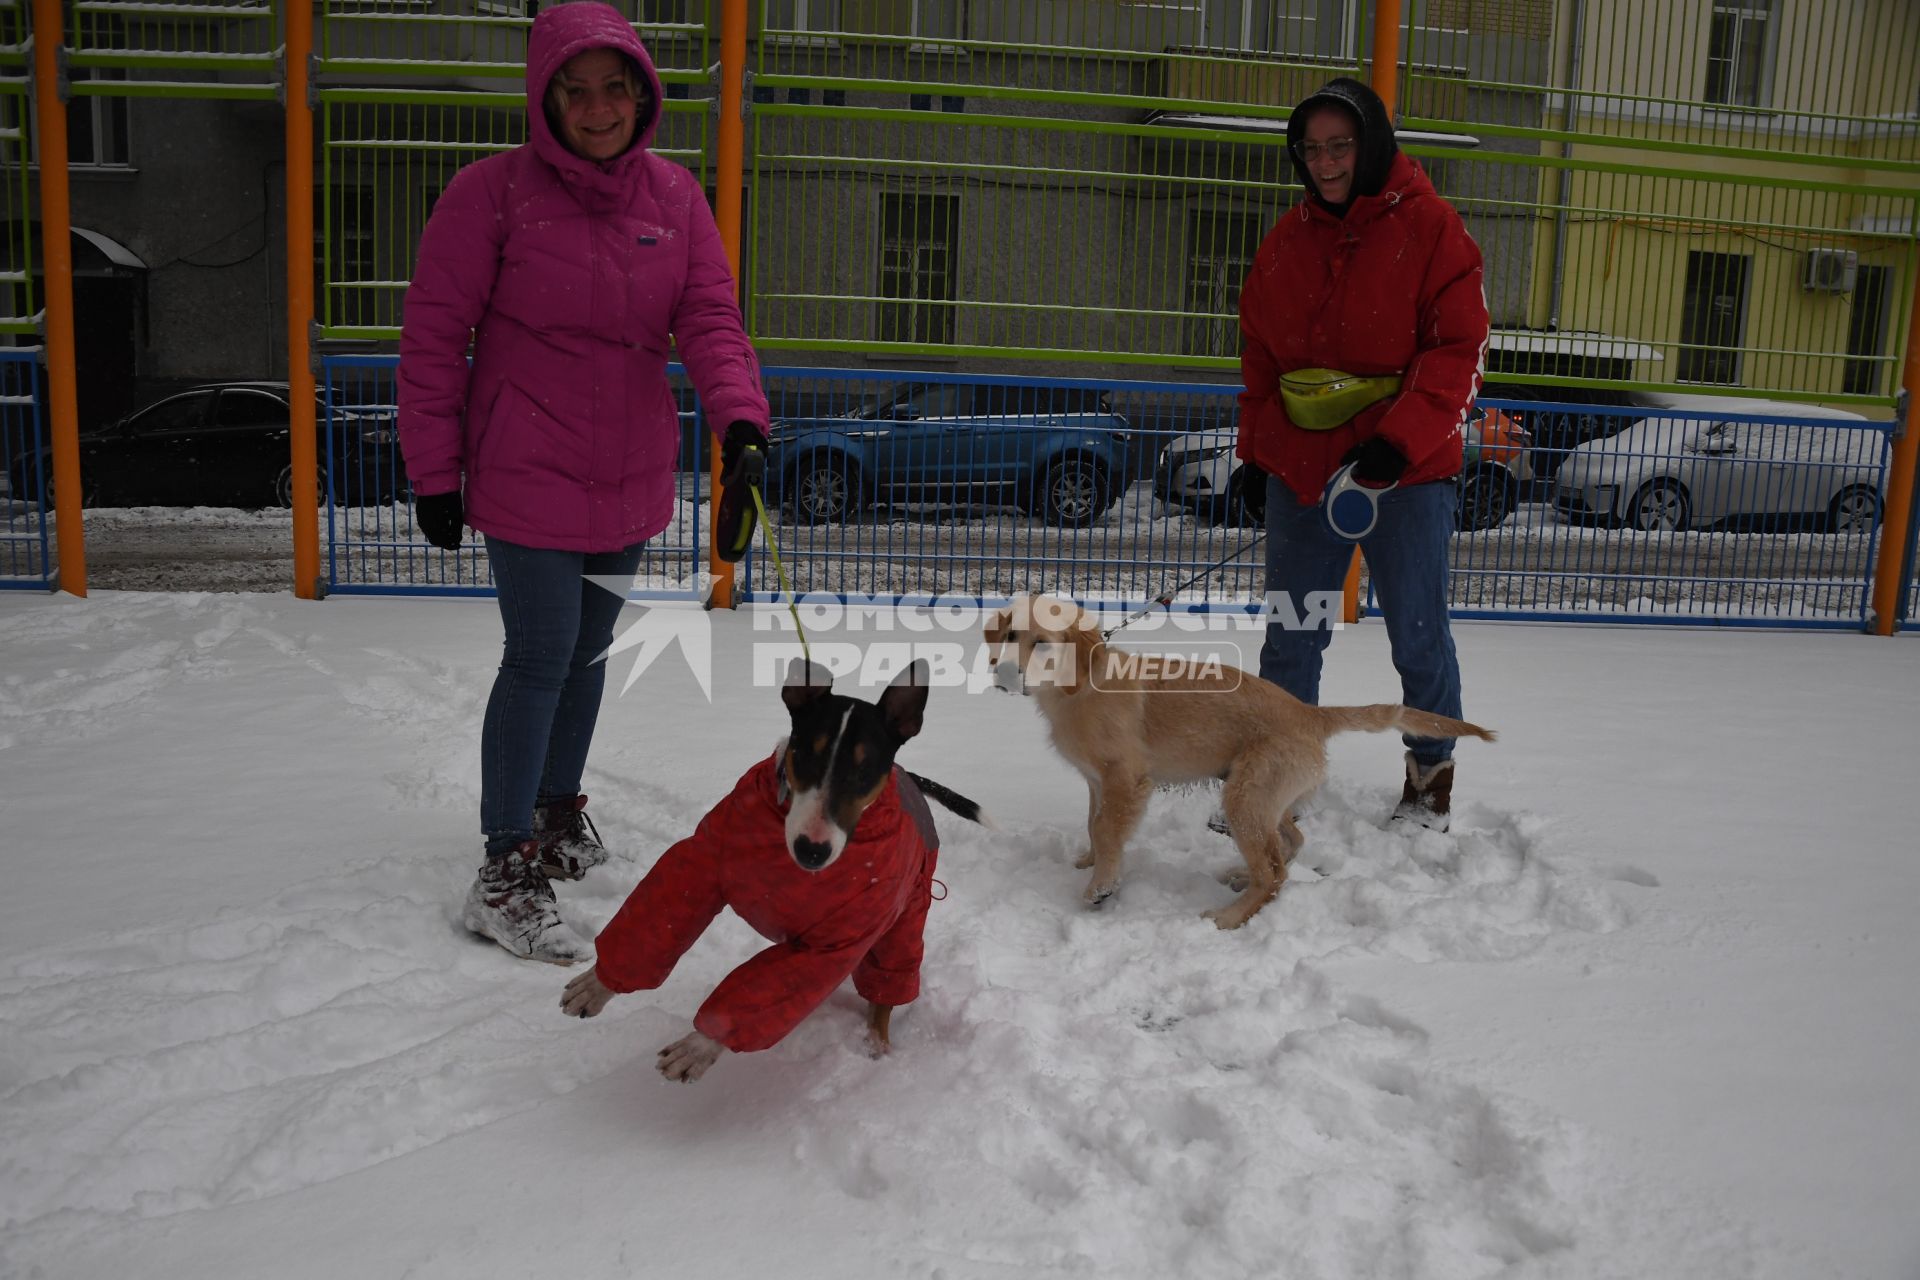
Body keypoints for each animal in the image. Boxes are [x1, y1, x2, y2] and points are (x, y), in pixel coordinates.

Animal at [552, 660, 975, 1082]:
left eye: (865, 770)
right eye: (804, 755)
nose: (812, 850)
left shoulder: (837, 941)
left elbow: (765, 993)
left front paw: (697, 1047)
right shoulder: (703, 861)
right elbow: (656, 919)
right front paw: (596, 985)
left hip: (908, 911)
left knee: (887, 982)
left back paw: (875, 1045)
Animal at [983, 591, 1489, 932]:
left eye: (1044, 644)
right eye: (1010, 636)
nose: (1004, 674)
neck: (1078, 686)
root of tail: (1311, 713)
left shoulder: (1126, 779)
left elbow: (1108, 830)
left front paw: (1100, 888)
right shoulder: (1097, 782)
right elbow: (1094, 825)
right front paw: (1089, 862)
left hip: (1245, 795)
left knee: (1276, 871)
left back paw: (1228, 917)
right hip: (1263, 796)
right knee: (1290, 844)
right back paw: (1240, 876)